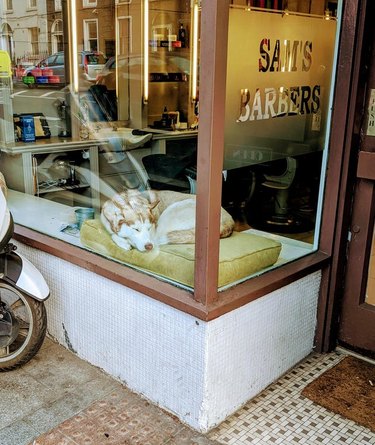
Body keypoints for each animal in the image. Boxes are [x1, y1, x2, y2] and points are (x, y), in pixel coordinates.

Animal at [100, 187, 235, 250]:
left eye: (149, 228)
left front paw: (124, 242)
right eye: (136, 229)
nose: (149, 247)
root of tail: (229, 221)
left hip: (172, 210)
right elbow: (112, 233)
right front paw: (123, 241)